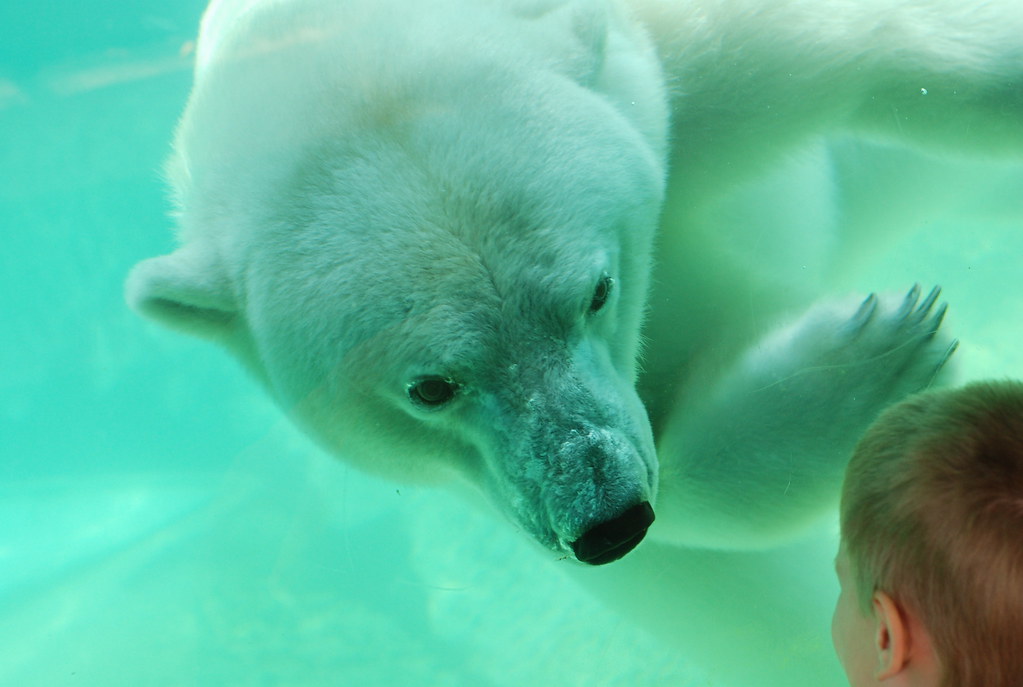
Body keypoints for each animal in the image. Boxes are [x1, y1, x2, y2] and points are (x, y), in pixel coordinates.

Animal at [125, 0, 1021, 684]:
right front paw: (869, 358)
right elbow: (701, 528)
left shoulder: (673, 74)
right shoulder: (493, 473)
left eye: (595, 290)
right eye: (429, 387)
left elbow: (867, 45)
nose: (607, 520)